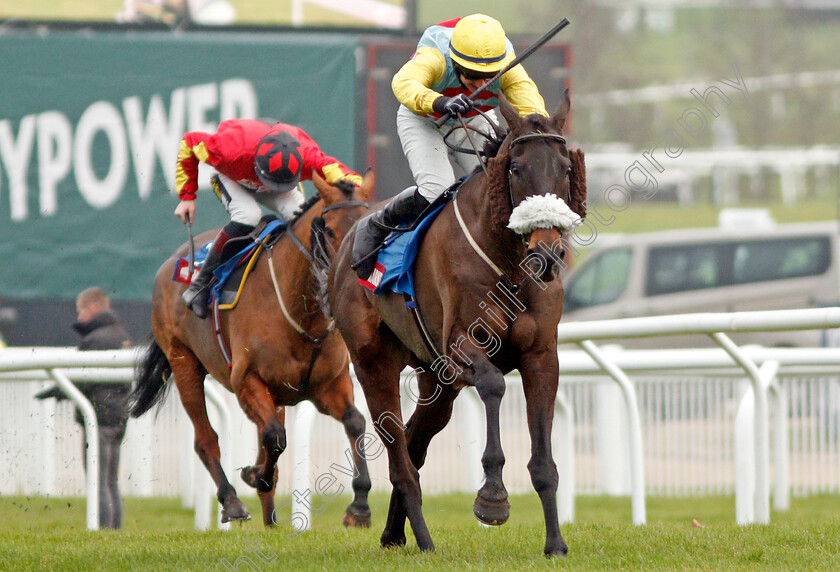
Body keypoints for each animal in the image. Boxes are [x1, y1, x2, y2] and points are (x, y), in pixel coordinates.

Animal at [130, 173, 374, 528]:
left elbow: (355, 422)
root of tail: (172, 262)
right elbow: (274, 435)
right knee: (206, 439)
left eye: (368, 225)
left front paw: (359, 506)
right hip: (183, 361)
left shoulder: (329, 384)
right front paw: (255, 475)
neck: (300, 312)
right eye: (329, 230)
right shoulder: (246, 381)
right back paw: (232, 500)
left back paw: (270, 518)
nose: (352, 276)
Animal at [326, 91, 584, 556]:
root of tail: (344, 252)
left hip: (437, 381)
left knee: (414, 443)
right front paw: (492, 498)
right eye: (516, 169)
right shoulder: (462, 343)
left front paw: (555, 543)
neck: (509, 264)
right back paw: (424, 540)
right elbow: (494, 384)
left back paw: (395, 533)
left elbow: (544, 460)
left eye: (566, 169)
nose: (548, 254)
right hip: (373, 364)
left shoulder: (541, 355)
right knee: (400, 457)